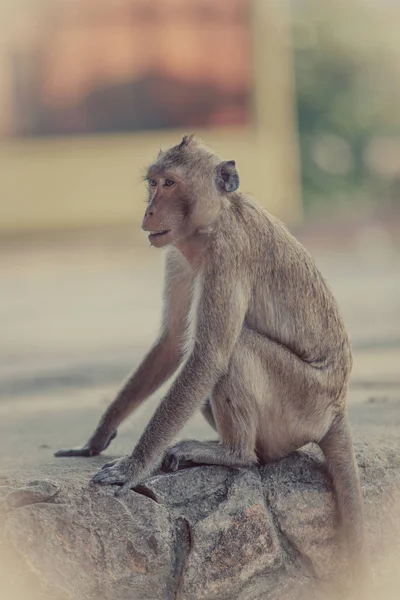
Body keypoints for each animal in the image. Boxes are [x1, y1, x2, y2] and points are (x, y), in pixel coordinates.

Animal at [56, 134, 366, 568]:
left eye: (170, 183)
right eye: (153, 183)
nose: (149, 210)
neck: (214, 220)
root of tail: (337, 408)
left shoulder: (227, 253)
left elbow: (209, 356)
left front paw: (133, 467)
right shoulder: (177, 253)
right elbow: (171, 343)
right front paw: (98, 437)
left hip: (303, 401)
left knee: (237, 351)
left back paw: (235, 454)